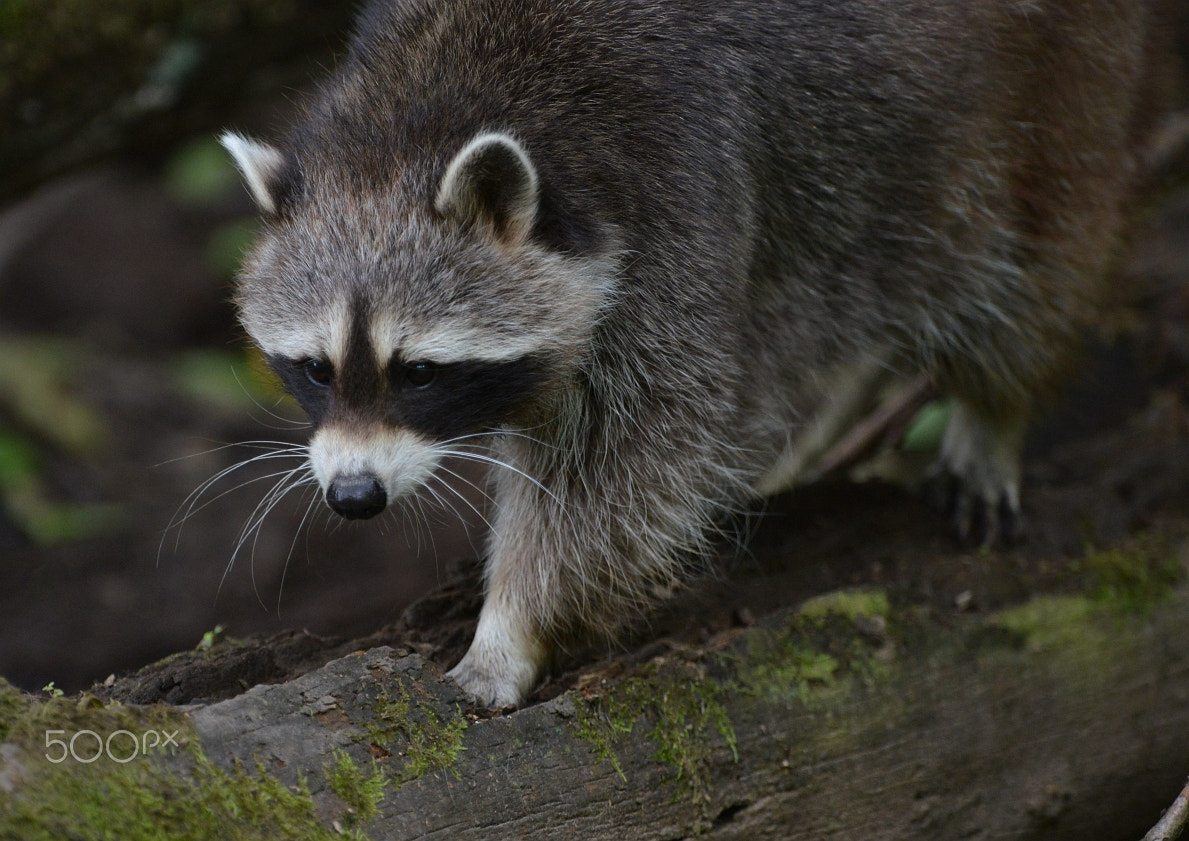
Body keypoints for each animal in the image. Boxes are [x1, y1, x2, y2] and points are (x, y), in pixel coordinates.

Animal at [224, 0, 1179, 708]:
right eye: (314, 369)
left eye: (419, 371)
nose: (353, 496)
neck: (417, 113)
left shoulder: (676, 193)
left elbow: (637, 455)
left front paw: (513, 624)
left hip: (1043, 84)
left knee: (1022, 248)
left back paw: (996, 405)